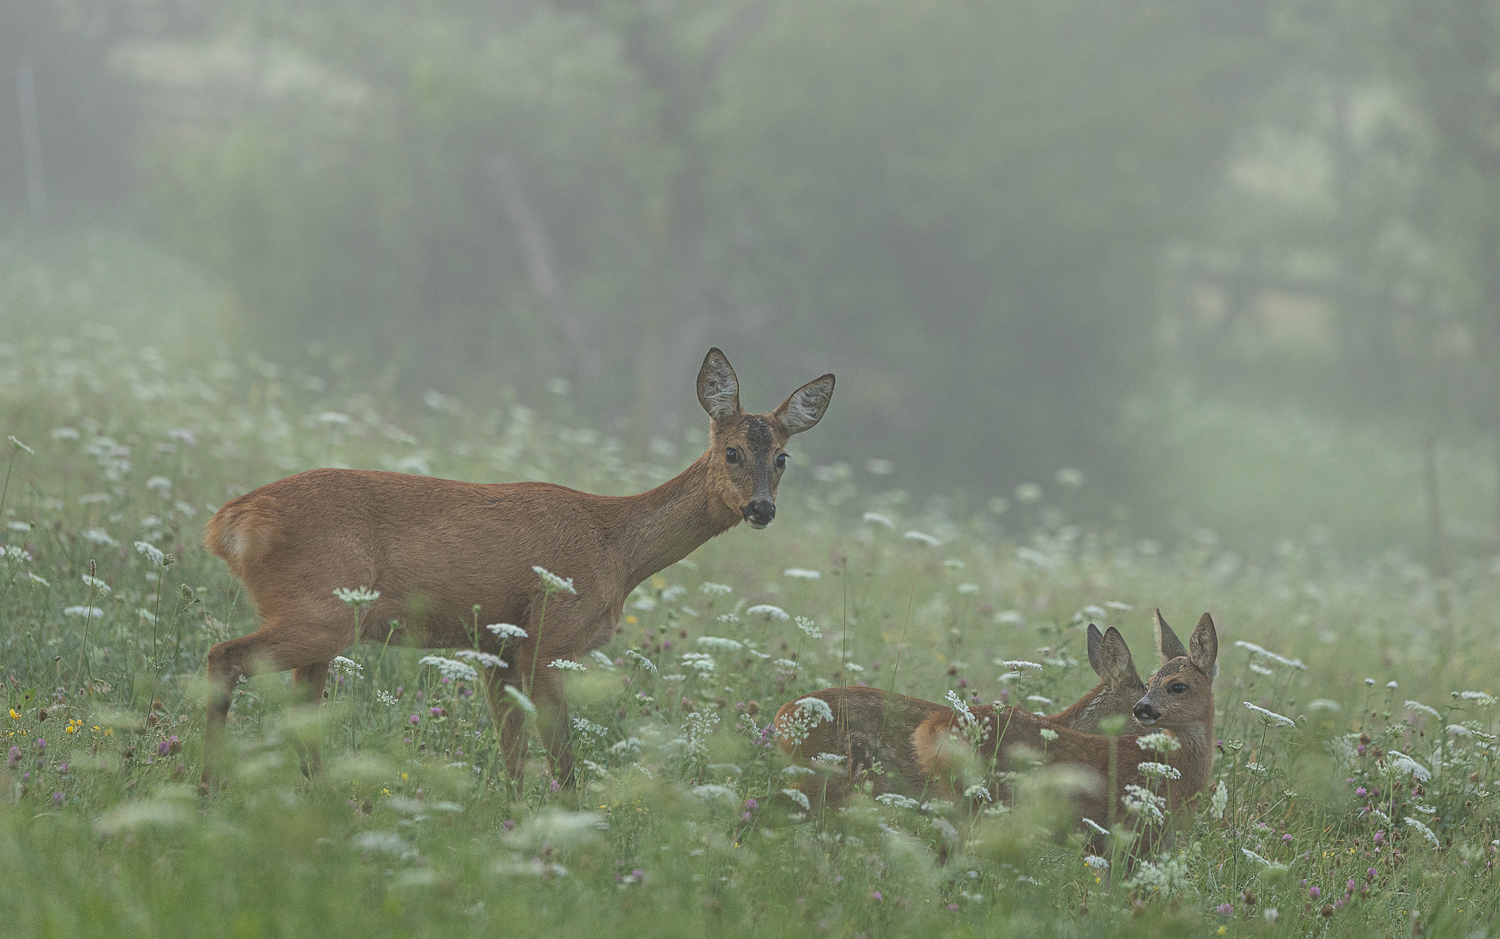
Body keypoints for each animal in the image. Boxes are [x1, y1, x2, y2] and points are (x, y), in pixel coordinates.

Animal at [201, 348, 840, 786]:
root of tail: (230, 522)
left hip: (322, 623)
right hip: (323, 609)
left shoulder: (499, 646)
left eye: (782, 458)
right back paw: (207, 785)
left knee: (298, 714)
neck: (616, 549)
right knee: (223, 656)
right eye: (732, 451)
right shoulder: (547, 638)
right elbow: (562, 763)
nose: (762, 509)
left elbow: (512, 757)